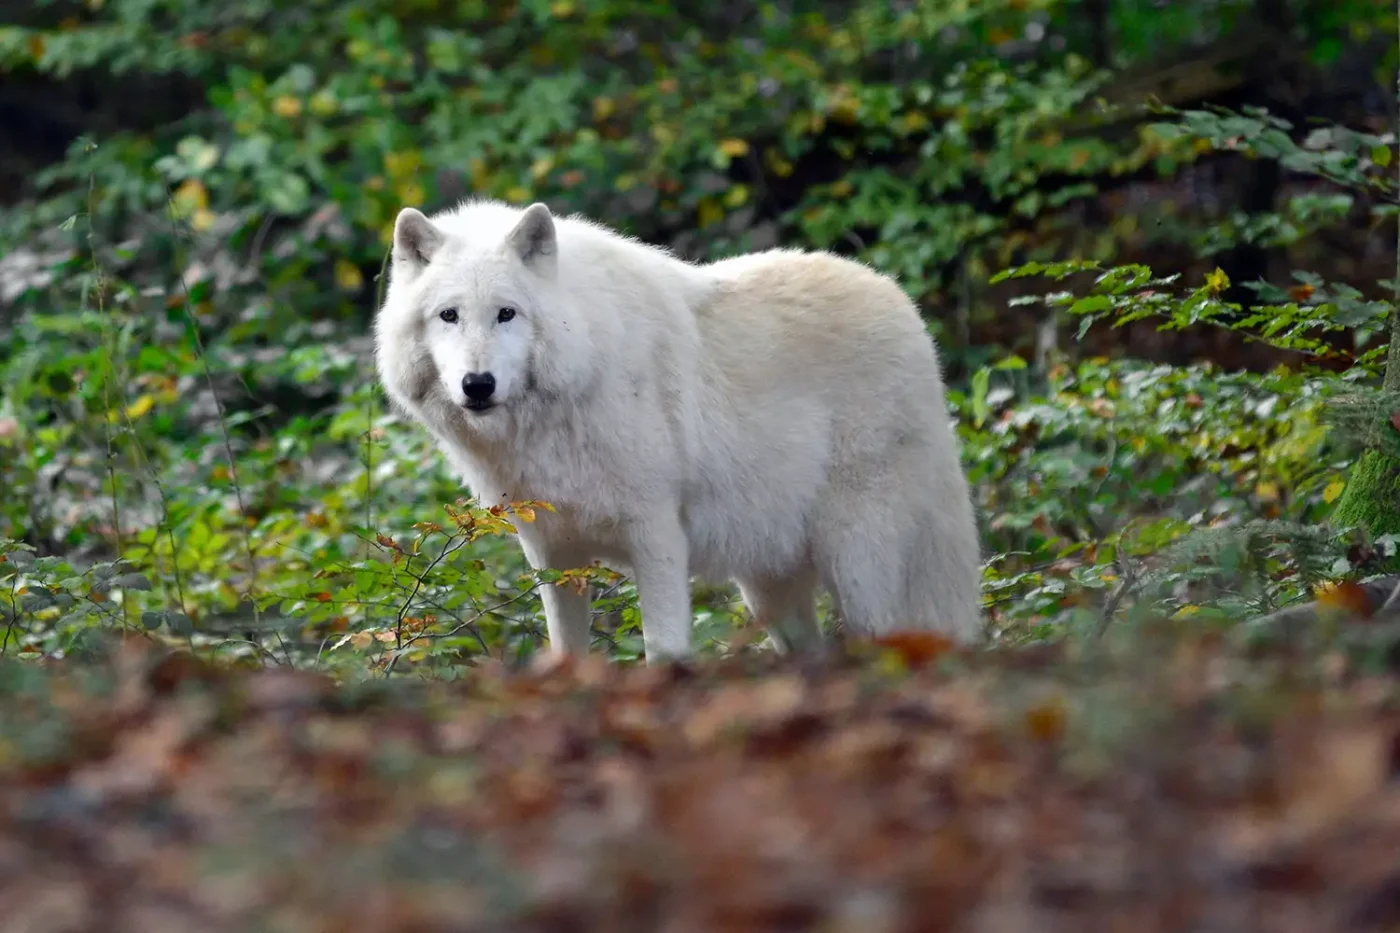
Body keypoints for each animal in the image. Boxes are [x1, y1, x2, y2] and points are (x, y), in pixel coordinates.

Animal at [373, 199, 982, 662]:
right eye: (449, 315)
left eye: (506, 313)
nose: (477, 385)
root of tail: (905, 307)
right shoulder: (551, 553)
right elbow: (567, 650)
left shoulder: (658, 537)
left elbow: (663, 650)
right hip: (770, 589)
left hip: (860, 563)